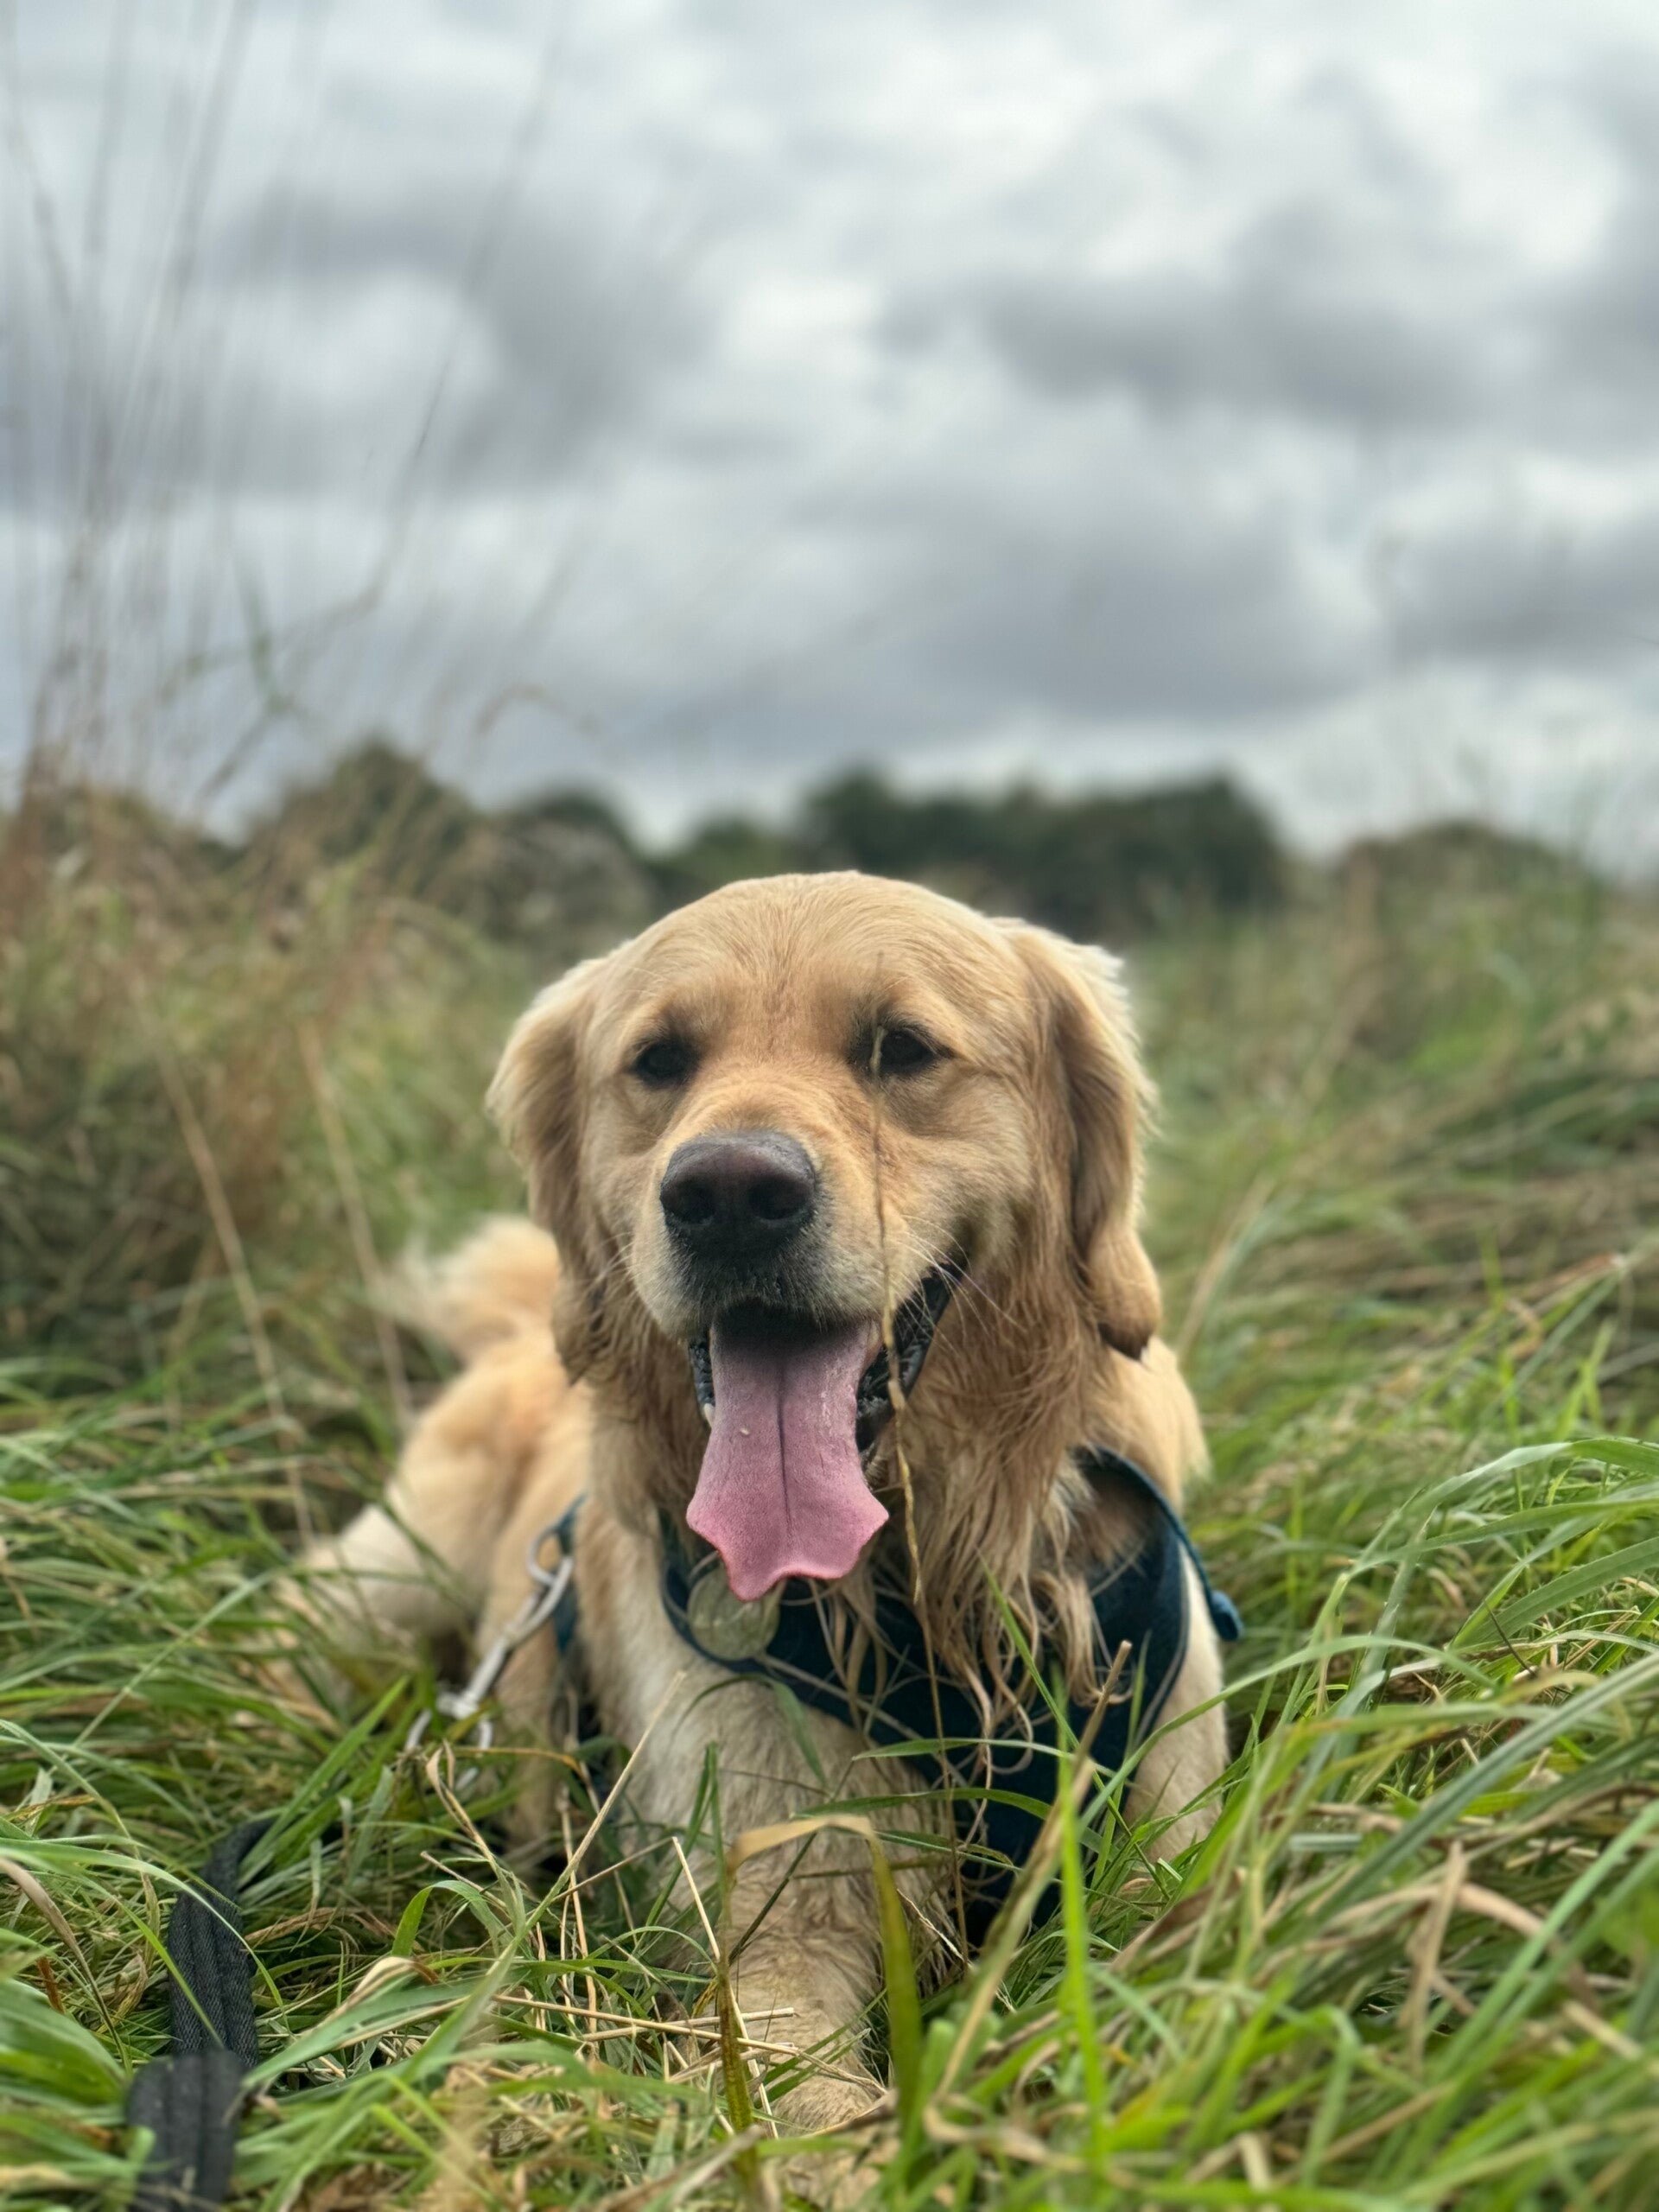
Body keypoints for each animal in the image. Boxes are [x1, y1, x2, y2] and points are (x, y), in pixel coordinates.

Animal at [295, 870, 1230, 2142]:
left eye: (903, 1048)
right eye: (658, 1061)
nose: (730, 1193)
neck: (921, 1584)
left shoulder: (1169, 1862)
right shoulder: (778, 1930)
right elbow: (812, 2114)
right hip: (385, 1583)